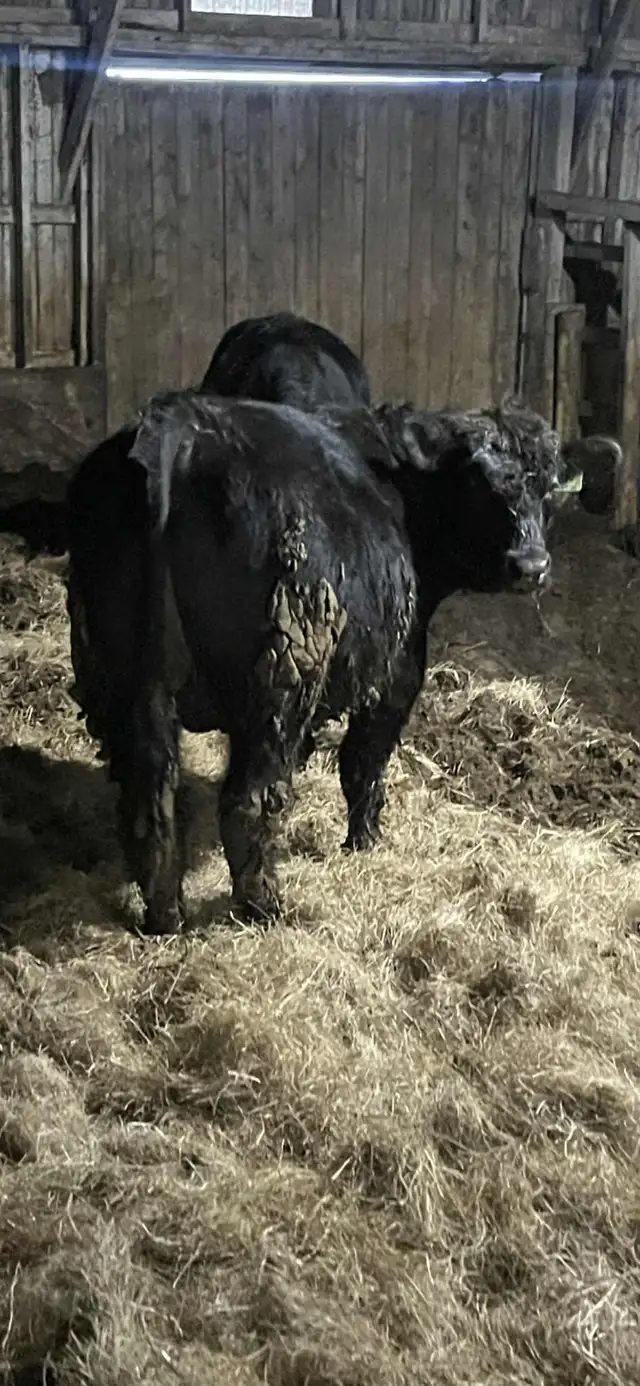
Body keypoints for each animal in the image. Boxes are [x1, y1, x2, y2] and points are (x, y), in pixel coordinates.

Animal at [65, 391, 582, 935]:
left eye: (547, 489)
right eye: (478, 484)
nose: (531, 565)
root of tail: (179, 422)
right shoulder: (397, 674)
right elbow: (363, 764)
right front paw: (365, 841)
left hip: (124, 679)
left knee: (150, 797)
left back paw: (166, 914)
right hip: (280, 684)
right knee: (249, 800)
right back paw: (267, 905)